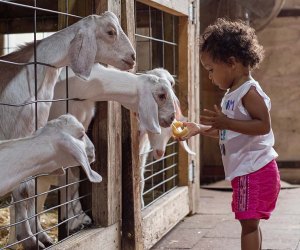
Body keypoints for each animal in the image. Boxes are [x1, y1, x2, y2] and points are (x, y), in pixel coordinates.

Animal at [1, 10, 135, 249]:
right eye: (111, 31)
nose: (133, 57)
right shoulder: (18, 135)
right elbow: (25, 189)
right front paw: (29, 240)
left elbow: (31, 186)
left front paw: (40, 237)